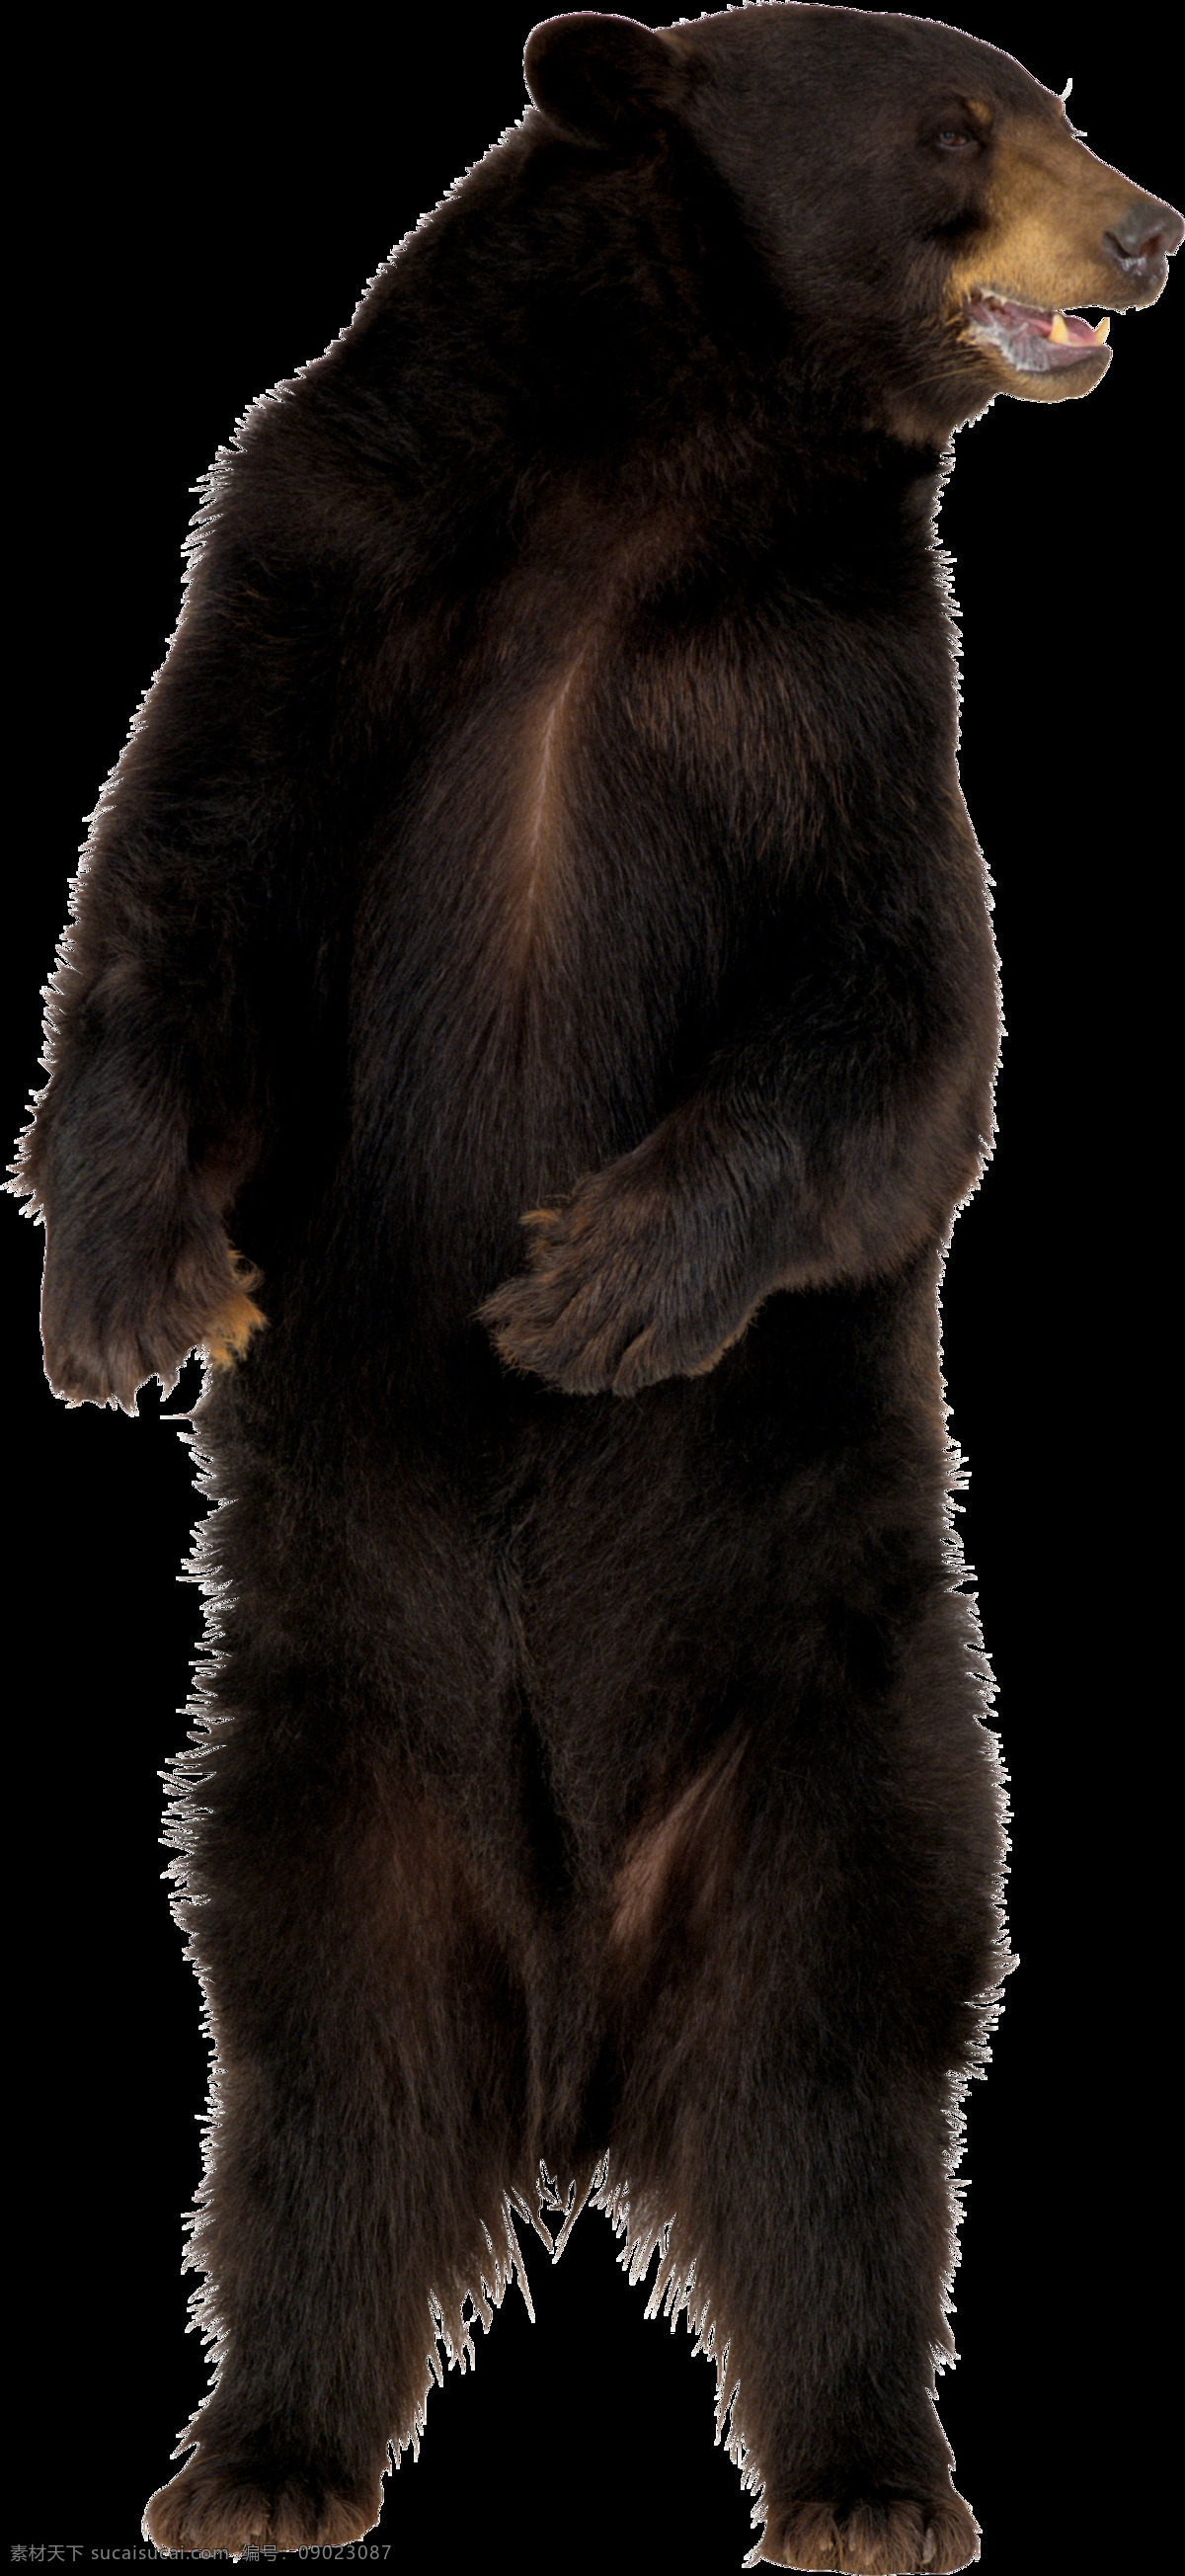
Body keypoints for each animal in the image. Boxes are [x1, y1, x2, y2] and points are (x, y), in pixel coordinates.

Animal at [11, 7, 1179, 2570]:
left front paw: (594, 1295)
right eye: (958, 122)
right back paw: (257, 2455)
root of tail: (567, 2032)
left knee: (832, 2112)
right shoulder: (312, 576)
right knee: (315, 2108)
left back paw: (867, 2479)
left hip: (838, 1760)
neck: (639, 492)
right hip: (325, 1788)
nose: (1151, 225)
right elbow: (175, 899)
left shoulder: (850, 691)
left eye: (1048, 103)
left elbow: (899, 1033)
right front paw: (133, 1293)